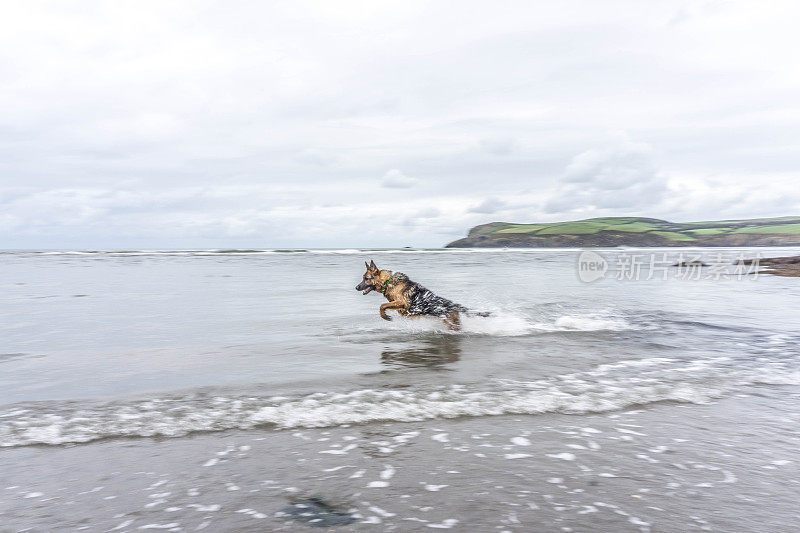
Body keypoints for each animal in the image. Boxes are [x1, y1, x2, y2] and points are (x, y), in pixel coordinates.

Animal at [356, 258, 488, 328]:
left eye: (366, 278)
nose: (356, 287)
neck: (388, 282)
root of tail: (455, 306)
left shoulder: (402, 302)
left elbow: (382, 306)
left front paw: (385, 316)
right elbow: (385, 305)